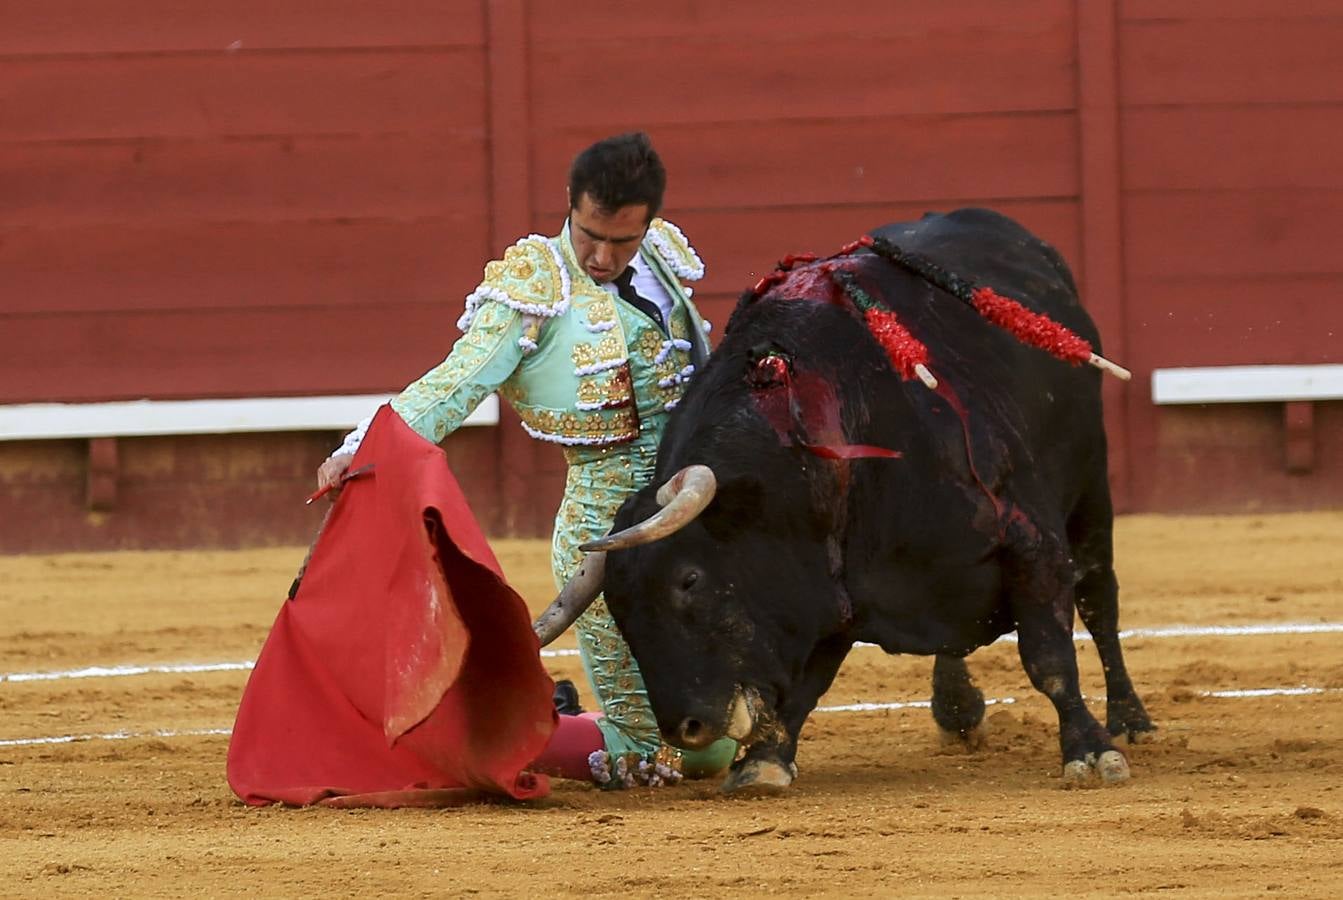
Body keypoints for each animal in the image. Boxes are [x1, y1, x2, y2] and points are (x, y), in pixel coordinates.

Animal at [534, 208, 1154, 795]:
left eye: (689, 580)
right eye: (616, 606)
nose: (685, 729)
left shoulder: (1031, 541)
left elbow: (1049, 657)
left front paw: (1090, 751)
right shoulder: (829, 587)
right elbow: (808, 684)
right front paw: (763, 762)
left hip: (1090, 490)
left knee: (1099, 599)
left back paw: (1131, 720)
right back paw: (957, 708)